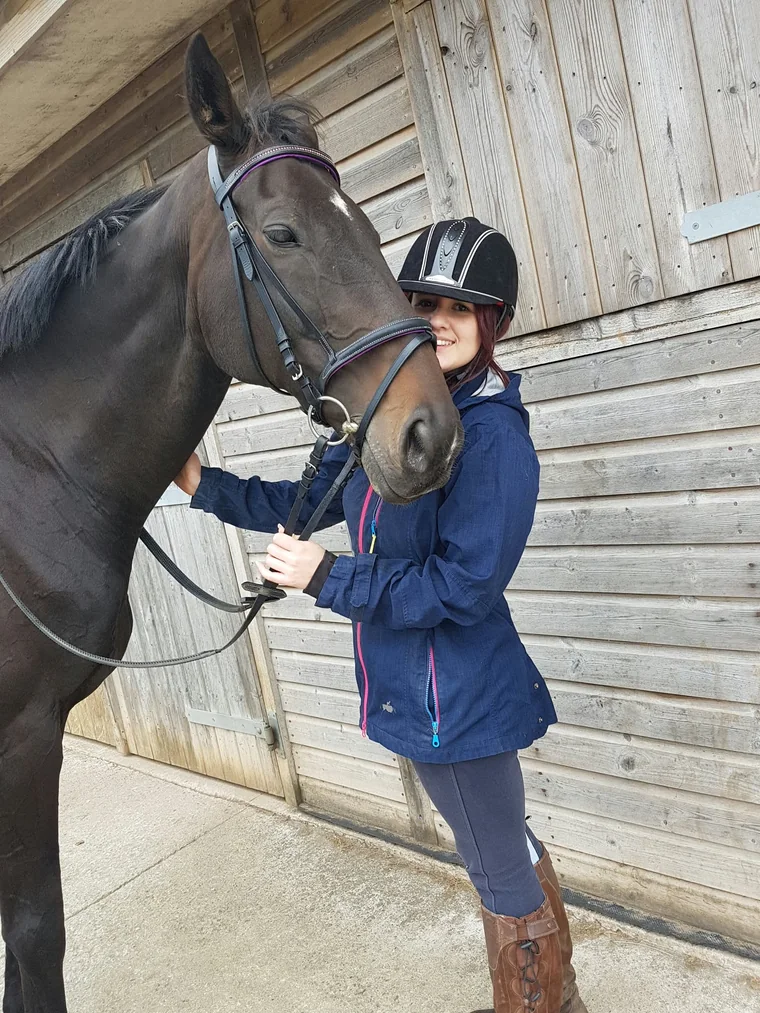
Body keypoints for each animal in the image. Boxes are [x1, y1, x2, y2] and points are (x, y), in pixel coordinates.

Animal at [0, 34, 462, 1012]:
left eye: (369, 228)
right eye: (285, 234)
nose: (430, 436)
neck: (25, 483)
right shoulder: (20, 736)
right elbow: (36, 934)